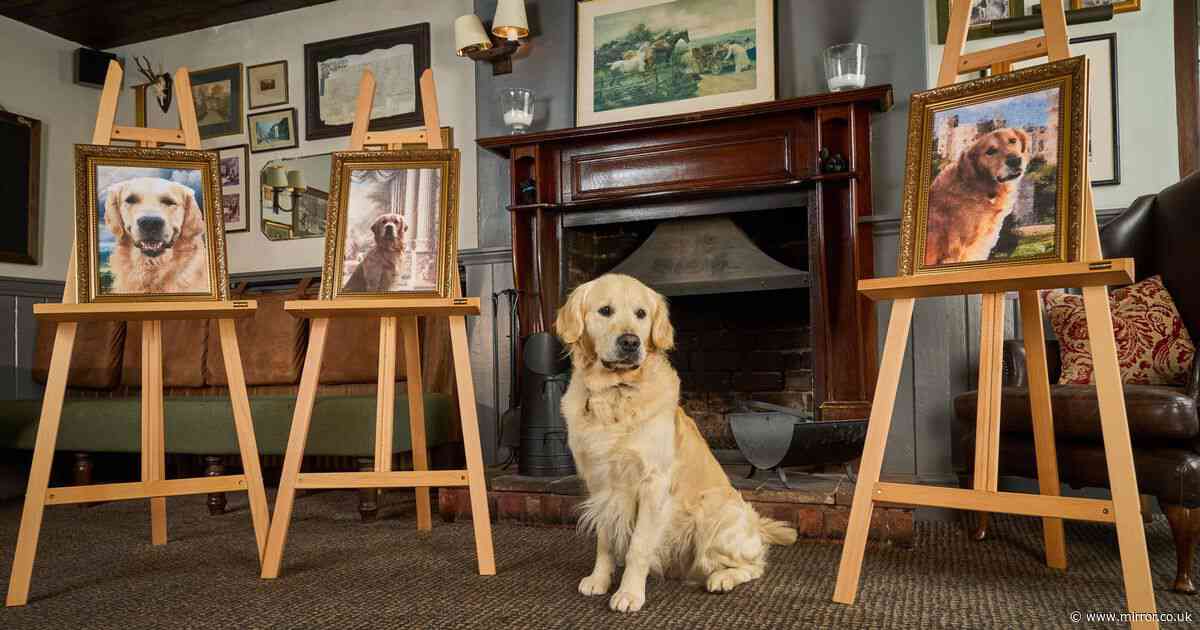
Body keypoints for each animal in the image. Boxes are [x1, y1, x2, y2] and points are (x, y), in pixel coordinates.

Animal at [554, 273, 796, 609]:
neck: (616, 394)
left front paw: (629, 593)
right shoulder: (600, 484)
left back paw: (722, 579)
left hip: (712, 512)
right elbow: (605, 539)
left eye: (641, 314)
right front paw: (599, 580)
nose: (630, 342)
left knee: (754, 564)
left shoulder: (653, 483)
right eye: (605, 310)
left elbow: (638, 546)